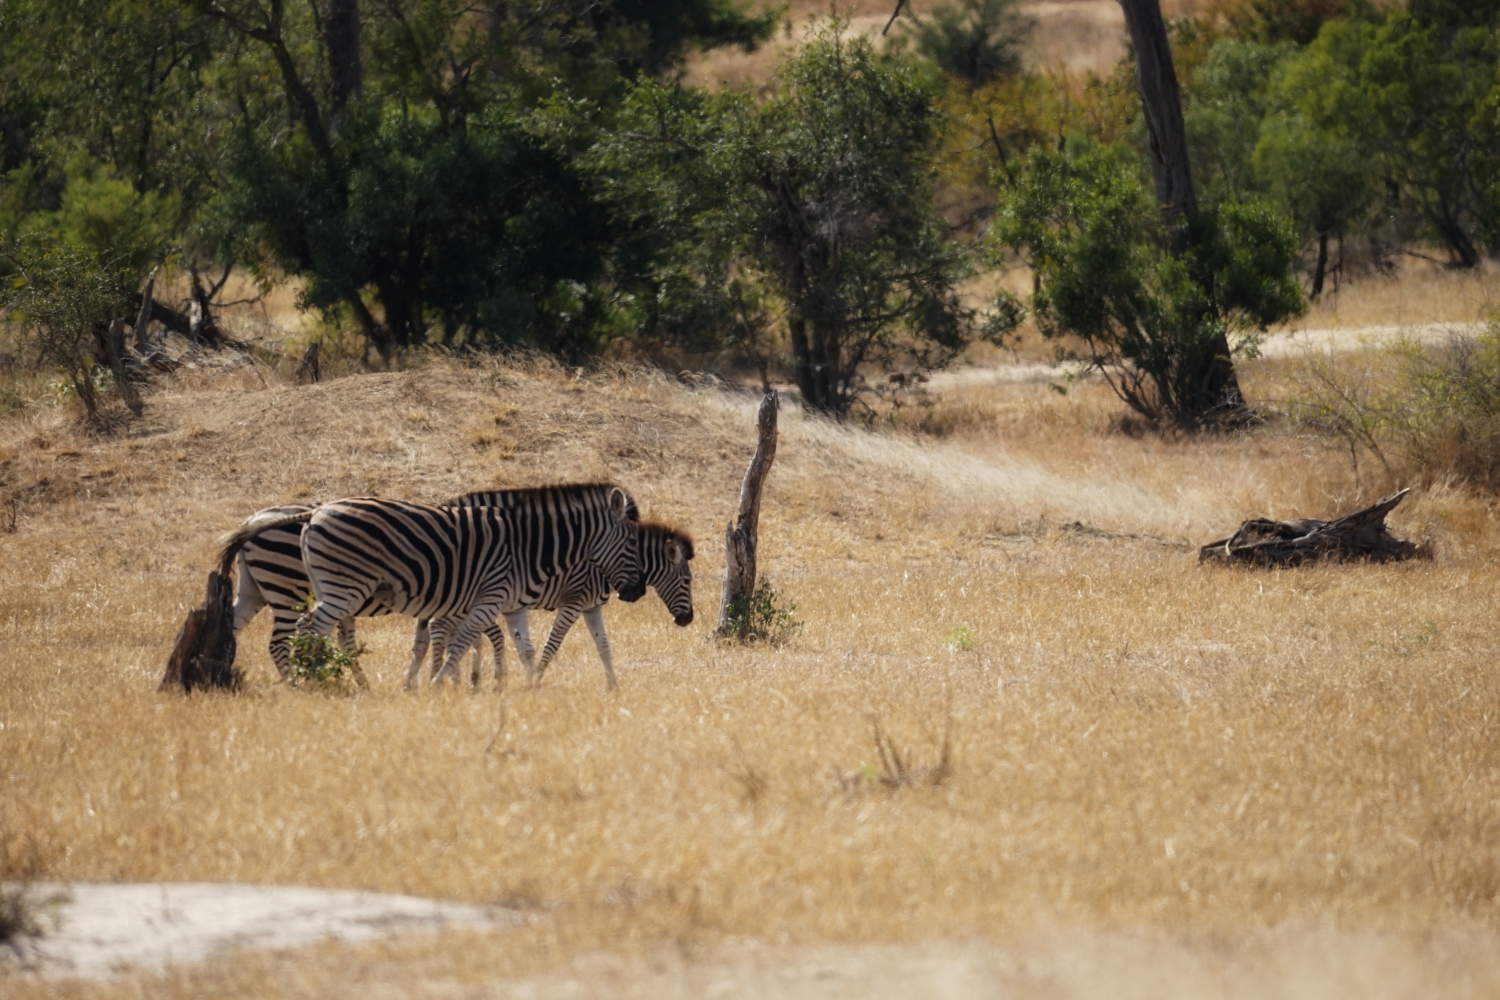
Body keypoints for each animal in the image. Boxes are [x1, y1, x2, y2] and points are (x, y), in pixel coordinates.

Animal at [219, 482, 642, 680]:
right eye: (632, 542)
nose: (634, 592)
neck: (524, 544)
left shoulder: (460, 600)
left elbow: (443, 642)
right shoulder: (477, 598)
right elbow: (462, 641)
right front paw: (457, 683)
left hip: (263, 590)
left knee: (236, 626)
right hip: (303, 589)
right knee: (294, 636)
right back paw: (308, 682)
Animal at [420, 521, 693, 692]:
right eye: (688, 581)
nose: (687, 620)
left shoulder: (592, 607)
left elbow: (604, 647)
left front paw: (614, 687)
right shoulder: (574, 602)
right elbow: (553, 644)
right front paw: (536, 679)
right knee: (439, 626)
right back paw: (437, 677)